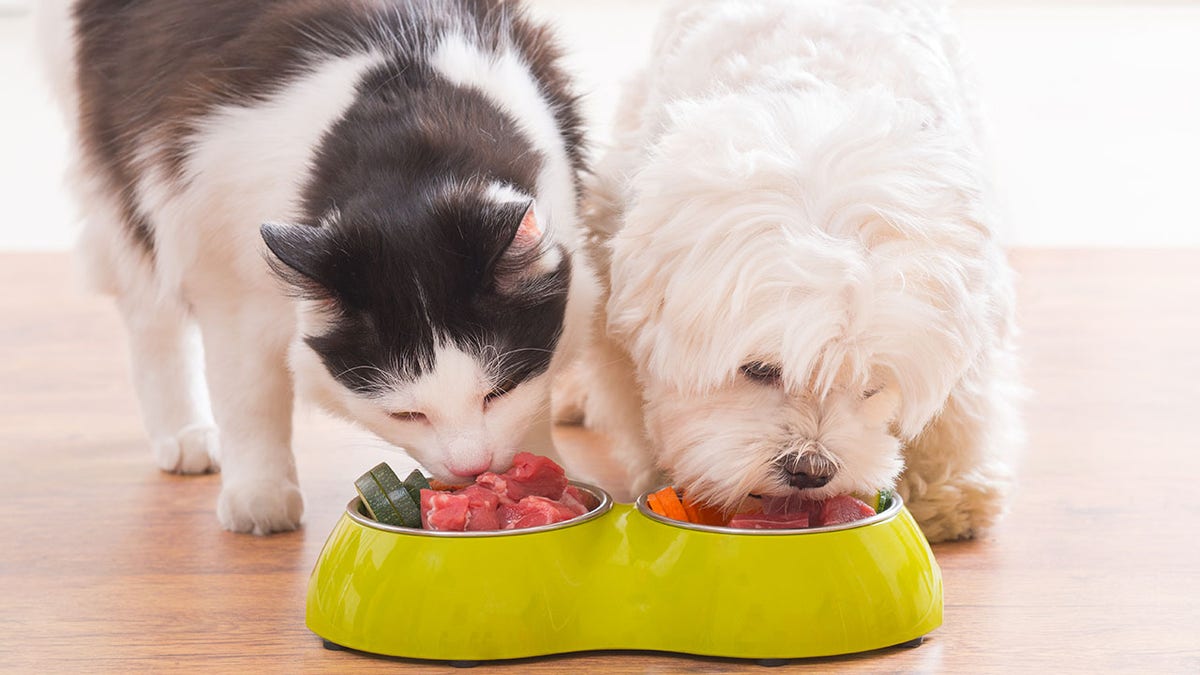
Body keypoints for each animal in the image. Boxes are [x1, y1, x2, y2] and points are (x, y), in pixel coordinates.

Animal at [36, 0, 595, 533]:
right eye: (407, 414)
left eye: (498, 392)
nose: (472, 467)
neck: (406, 146)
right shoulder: (227, 275)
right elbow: (248, 397)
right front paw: (259, 496)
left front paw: (542, 469)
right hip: (128, 181)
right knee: (150, 312)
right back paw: (186, 434)